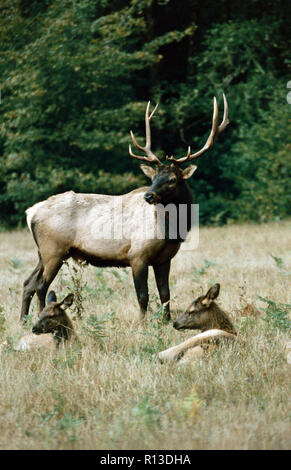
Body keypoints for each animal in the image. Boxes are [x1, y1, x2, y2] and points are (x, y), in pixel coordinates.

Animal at [20, 95, 230, 324]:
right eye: (153, 178)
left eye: (172, 179)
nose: (148, 196)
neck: (169, 230)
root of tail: (31, 212)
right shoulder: (137, 255)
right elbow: (143, 295)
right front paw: (143, 325)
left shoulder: (164, 259)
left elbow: (165, 294)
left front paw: (166, 322)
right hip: (54, 249)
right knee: (41, 286)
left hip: (43, 252)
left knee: (28, 283)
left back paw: (22, 321)